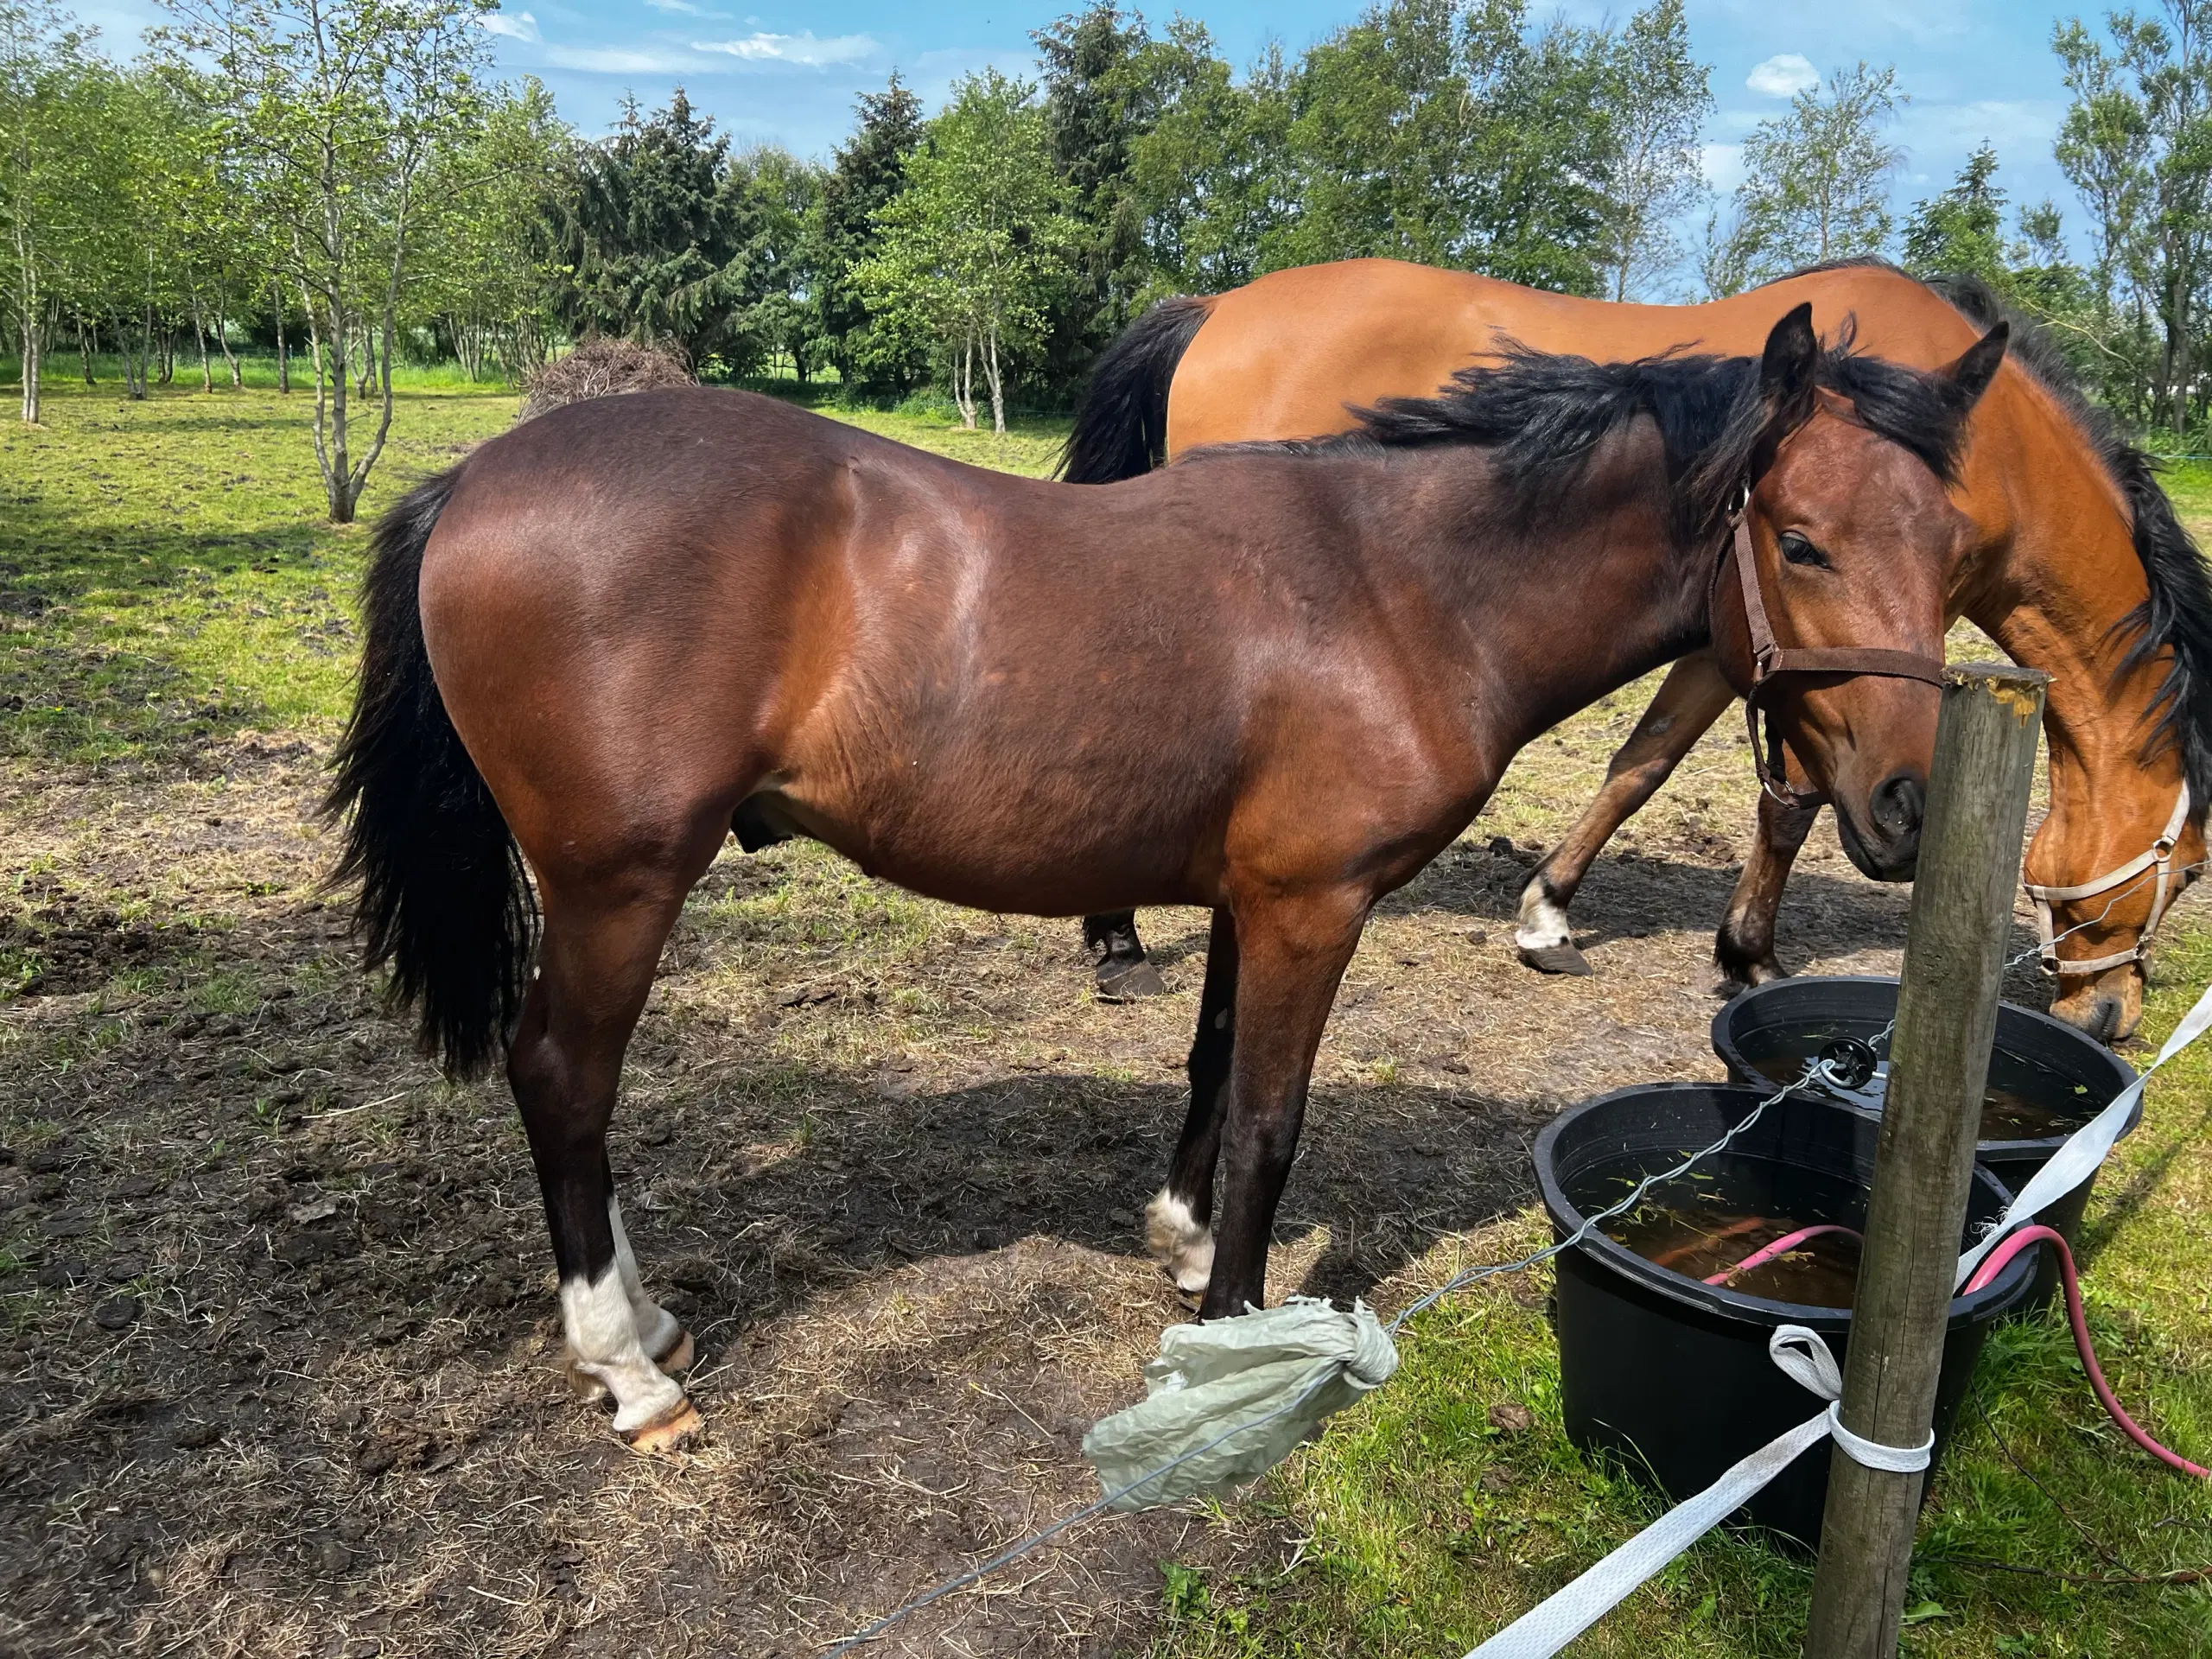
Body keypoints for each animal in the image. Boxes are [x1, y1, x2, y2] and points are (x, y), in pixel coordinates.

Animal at [332, 309, 2008, 1442]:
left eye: (1954, 554)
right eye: (1803, 541)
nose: (1911, 806)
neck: (1399, 590)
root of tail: (475, 479)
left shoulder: (1245, 898)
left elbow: (1210, 1075)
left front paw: (1186, 1245)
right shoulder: (1316, 909)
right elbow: (1272, 1119)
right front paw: (1237, 1338)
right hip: (619, 884)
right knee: (565, 1079)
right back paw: (626, 1363)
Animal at [1061, 259, 2202, 1039]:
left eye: (1952, 547)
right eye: (2188, 871)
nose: (2112, 1019)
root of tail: (1220, 304)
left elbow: (1663, 768)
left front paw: (1560, 915)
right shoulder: (1755, 645)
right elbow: (1715, 783)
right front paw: (1730, 952)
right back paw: (1116, 937)